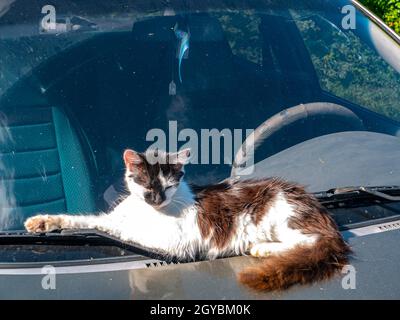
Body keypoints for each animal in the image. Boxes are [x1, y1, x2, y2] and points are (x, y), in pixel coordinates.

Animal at [25, 149, 350, 292]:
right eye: (147, 186)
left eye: (168, 186)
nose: (156, 199)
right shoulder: (113, 219)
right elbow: (88, 220)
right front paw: (44, 222)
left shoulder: (174, 243)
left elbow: (123, 231)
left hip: (280, 216)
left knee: (311, 243)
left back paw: (264, 249)